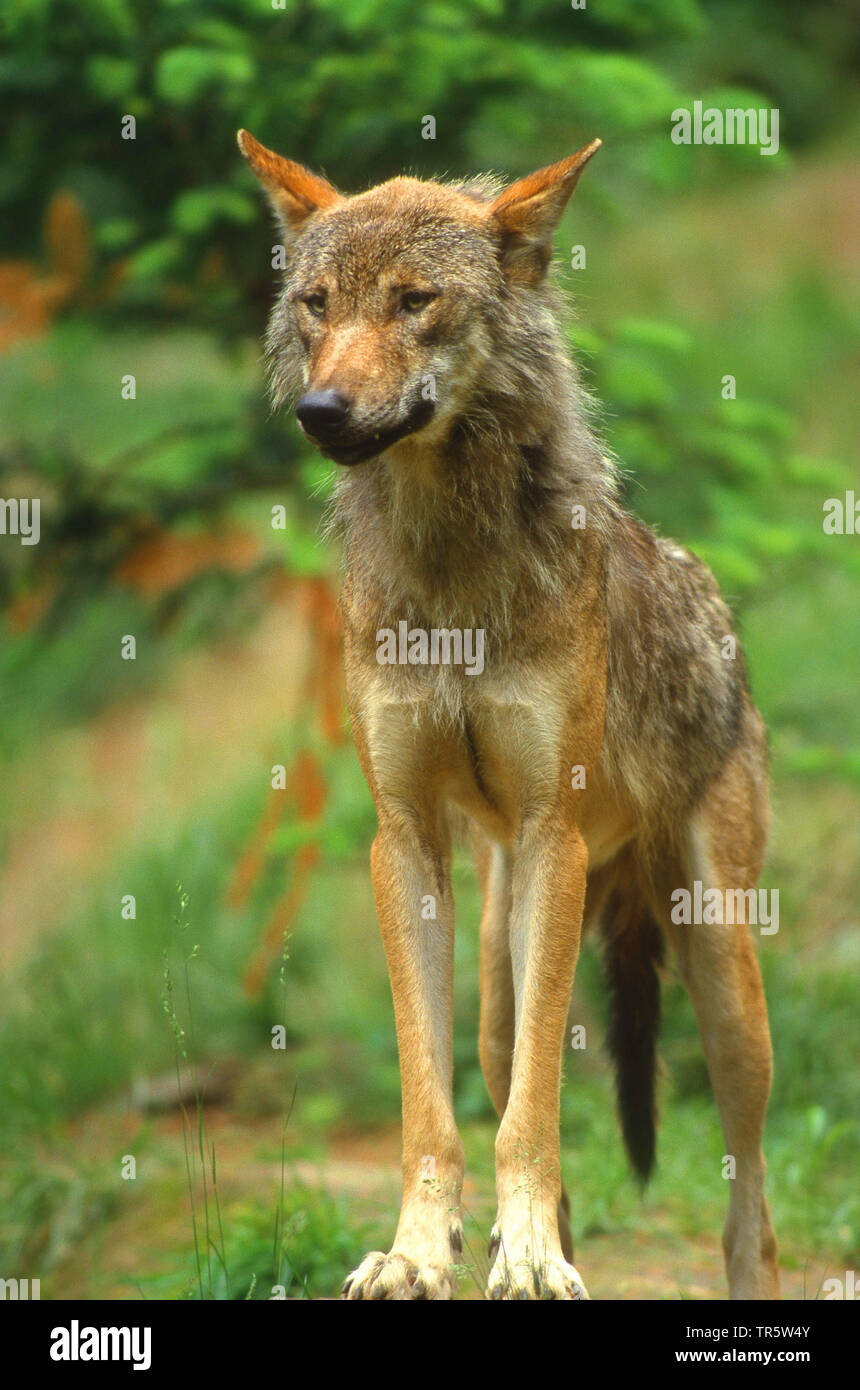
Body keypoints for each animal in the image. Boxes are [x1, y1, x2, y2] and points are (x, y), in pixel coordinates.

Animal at [238, 130, 783, 1301]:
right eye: (315, 303)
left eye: (415, 300)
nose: (321, 412)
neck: (449, 572)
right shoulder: (402, 838)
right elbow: (433, 1110)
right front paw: (415, 1253)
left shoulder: (551, 835)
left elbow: (532, 1118)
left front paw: (524, 1256)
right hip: (496, 969)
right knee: (504, 1067)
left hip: (721, 976)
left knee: (749, 1201)